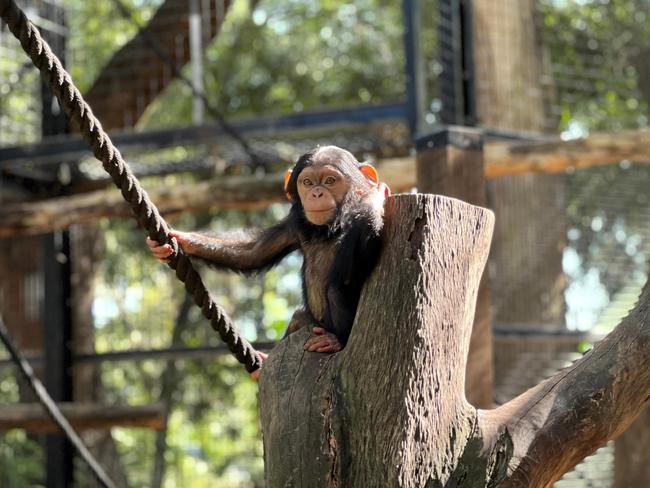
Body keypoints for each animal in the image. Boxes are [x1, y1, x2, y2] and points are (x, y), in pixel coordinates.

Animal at [147, 147, 388, 372]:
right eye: (307, 182)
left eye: (330, 180)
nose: (317, 193)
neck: (328, 228)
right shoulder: (293, 226)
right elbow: (254, 252)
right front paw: (180, 239)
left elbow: (346, 275)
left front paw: (376, 198)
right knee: (299, 319)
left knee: (335, 291)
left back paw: (333, 340)